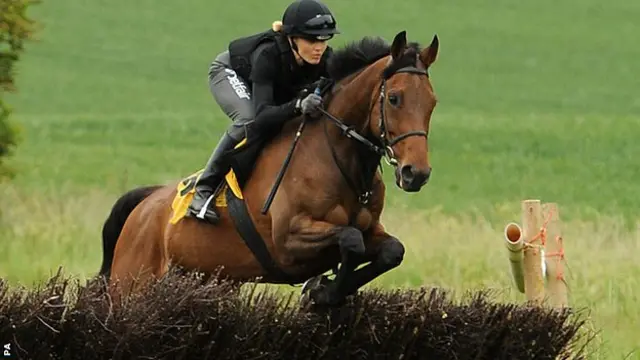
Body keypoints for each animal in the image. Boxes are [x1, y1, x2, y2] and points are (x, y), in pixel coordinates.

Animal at [99, 31, 440, 306]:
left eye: (432, 102)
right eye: (394, 98)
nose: (416, 173)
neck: (339, 159)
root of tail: (145, 204)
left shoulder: (372, 231)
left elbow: (391, 250)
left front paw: (322, 290)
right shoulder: (287, 241)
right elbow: (351, 239)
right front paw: (320, 292)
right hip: (132, 285)